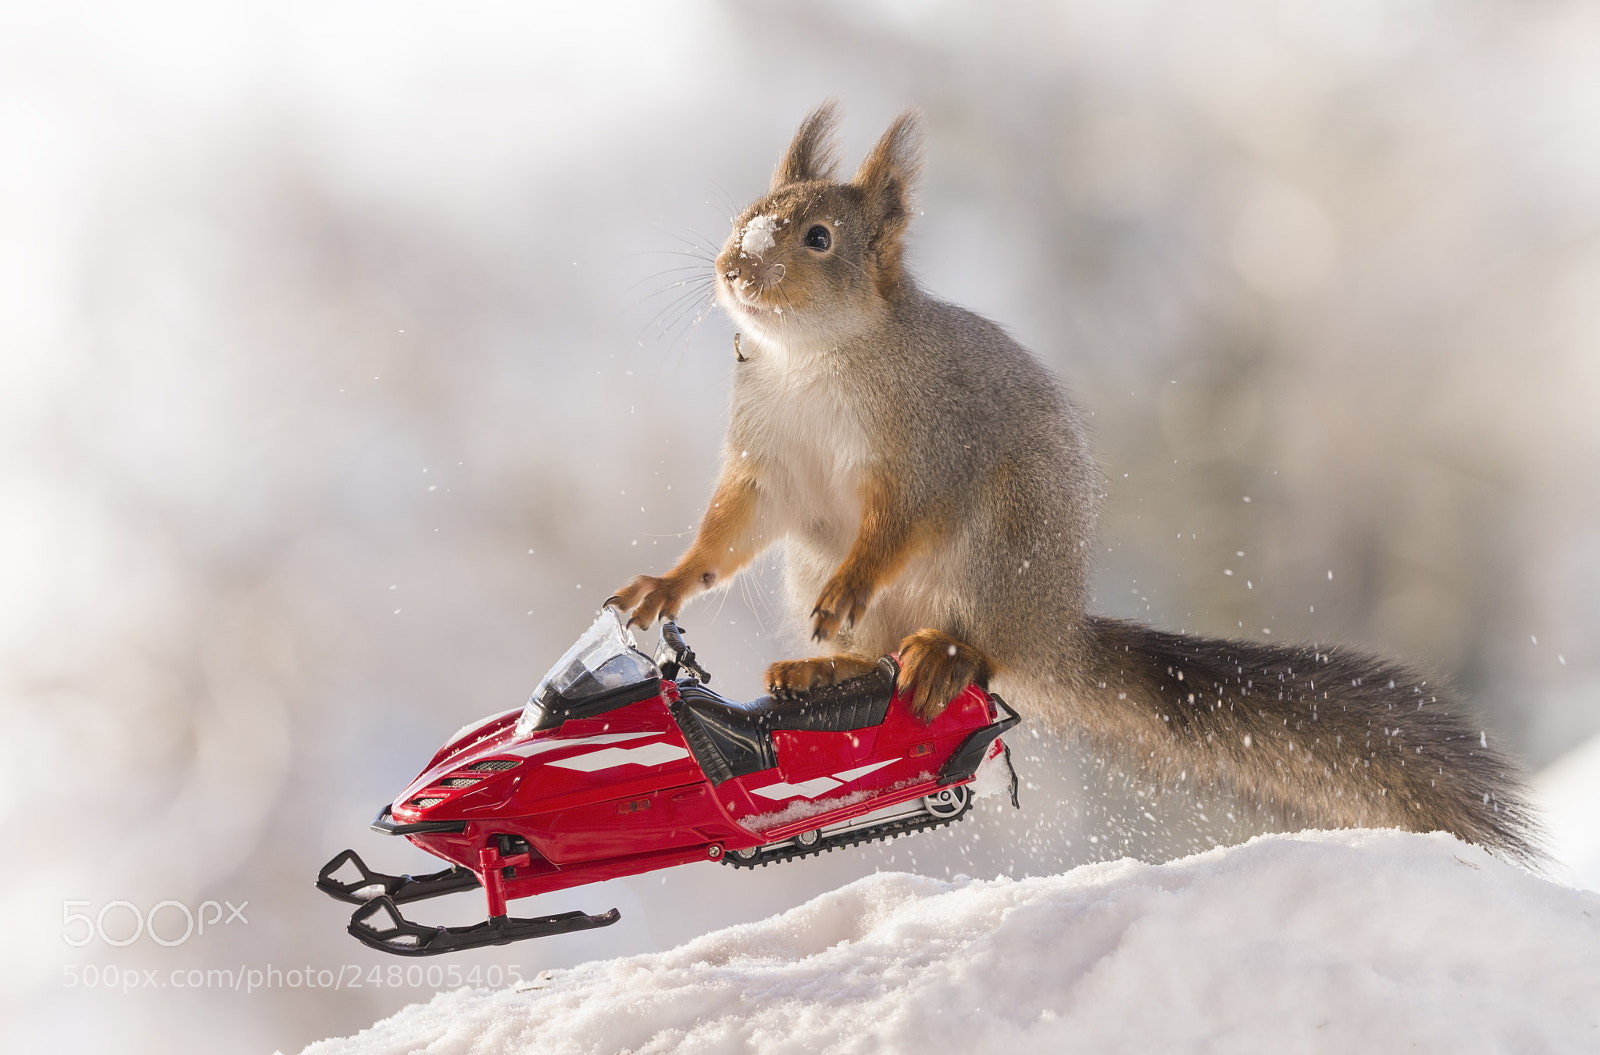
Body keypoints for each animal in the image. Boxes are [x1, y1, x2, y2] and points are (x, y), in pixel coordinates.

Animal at [609, 103, 1540, 864]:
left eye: (818, 238)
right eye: (743, 218)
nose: (732, 268)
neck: (808, 362)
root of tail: (1055, 633)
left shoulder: (930, 446)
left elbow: (899, 522)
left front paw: (851, 579)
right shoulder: (766, 464)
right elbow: (728, 530)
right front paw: (662, 584)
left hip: (1000, 550)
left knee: (980, 651)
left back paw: (942, 652)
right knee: (876, 662)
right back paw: (827, 668)